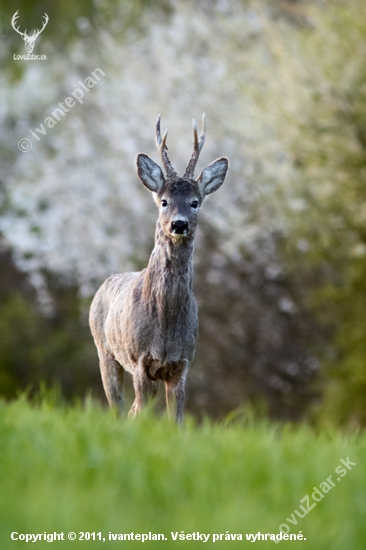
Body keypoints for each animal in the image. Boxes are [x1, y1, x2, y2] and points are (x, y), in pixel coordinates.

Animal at [89, 116, 227, 422]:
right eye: (164, 202)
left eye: (195, 202)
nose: (179, 224)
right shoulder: (140, 359)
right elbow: (141, 413)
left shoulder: (182, 363)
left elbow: (176, 420)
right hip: (105, 351)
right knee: (119, 408)